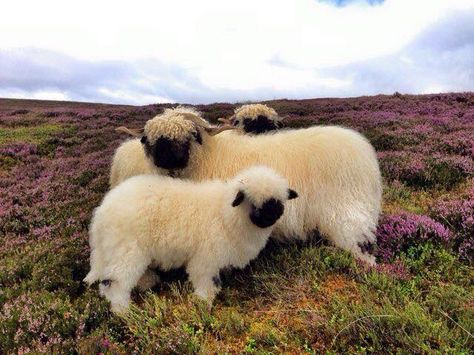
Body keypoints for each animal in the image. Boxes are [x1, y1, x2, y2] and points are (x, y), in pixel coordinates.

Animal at [81, 165, 296, 312]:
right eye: (253, 202)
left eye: (278, 202)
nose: (271, 217)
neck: (226, 213)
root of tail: (101, 214)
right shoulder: (206, 258)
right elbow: (207, 281)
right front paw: (203, 302)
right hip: (127, 250)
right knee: (115, 281)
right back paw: (124, 311)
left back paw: (146, 282)